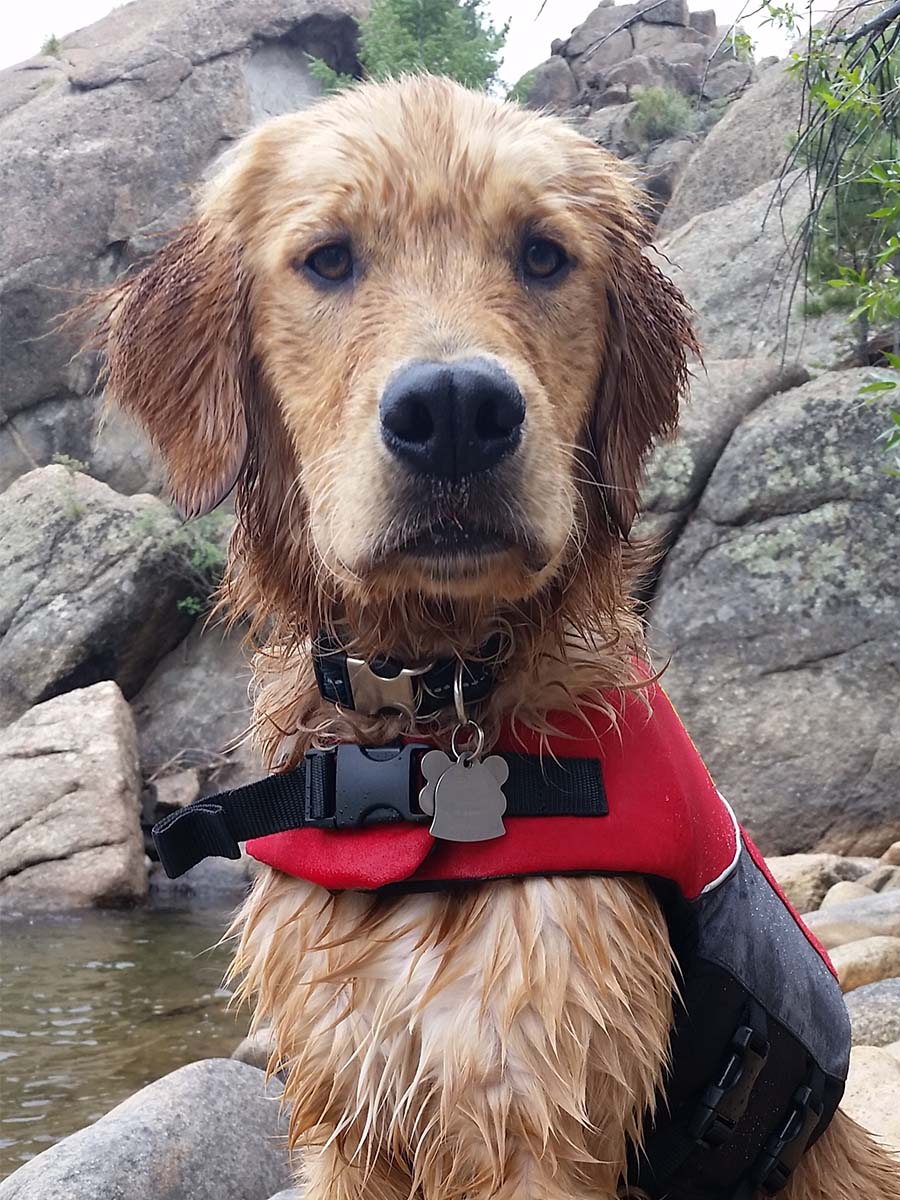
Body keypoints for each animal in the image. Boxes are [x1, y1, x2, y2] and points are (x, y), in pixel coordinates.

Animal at [93, 77, 900, 1200]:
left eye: (544, 255)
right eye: (329, 258)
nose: (455, 410)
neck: (425, 708)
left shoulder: (535, 1110)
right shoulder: (345, 1115)